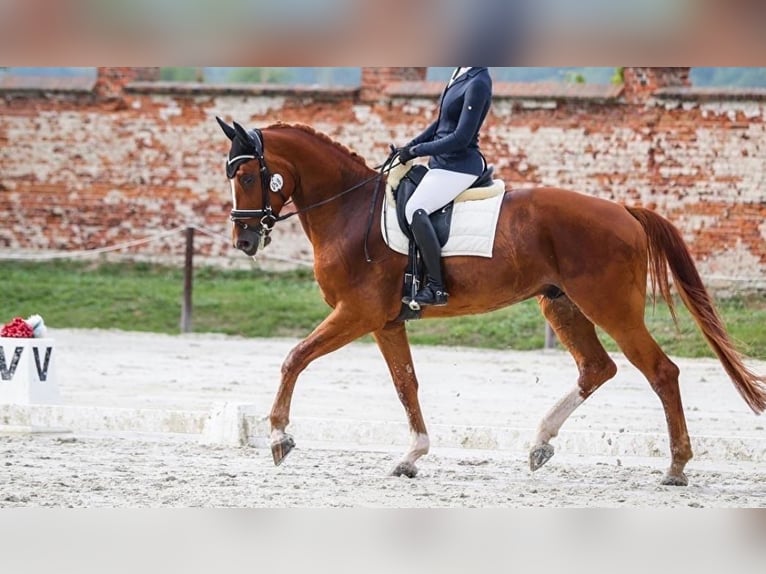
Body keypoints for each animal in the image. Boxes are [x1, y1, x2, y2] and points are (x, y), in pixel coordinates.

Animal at [216, 117, 766, 486]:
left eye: (248, 177)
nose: (244, 240)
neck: (350, 210)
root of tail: (625, 210)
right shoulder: (385, 321)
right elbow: (406, 383)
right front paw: (412, 455)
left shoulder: (357, 313)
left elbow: (294, 358)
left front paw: (279, 437)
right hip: (560, 303)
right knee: (597, 368)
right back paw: (541, 443)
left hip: (610, 306)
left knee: (660, 371)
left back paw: (675, 466)